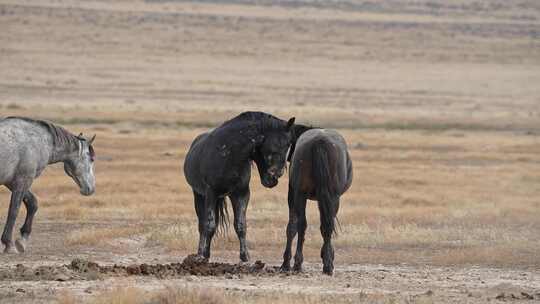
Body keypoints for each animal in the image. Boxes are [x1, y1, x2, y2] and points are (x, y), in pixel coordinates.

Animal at [0, 117, 96, 253]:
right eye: (91, 159)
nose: (91, 188)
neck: (39, 141)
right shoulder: (23, 180)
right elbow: (14, 211)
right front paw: (9, 244)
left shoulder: (11, 182)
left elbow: (32, 203)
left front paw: (22, 239)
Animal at [185, 111, 296, 262]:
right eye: (271, 144)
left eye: (288, 144)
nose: (275, 176)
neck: (229, 154)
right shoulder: (211, 193)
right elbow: (209, 225)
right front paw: (203, 255)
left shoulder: (241, 194)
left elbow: (240, 225)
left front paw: (245, 256)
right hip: (198, 195)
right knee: (202, 224)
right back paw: (201, 253)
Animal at [282, 128, 354, 276]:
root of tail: (320, 141)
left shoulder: (295, 195)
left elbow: (292, 227)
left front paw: (286, 263)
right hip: (332, 197)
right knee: (326, 226)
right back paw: (327, 265)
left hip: (302, 195)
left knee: (303, 225)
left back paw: (298, 263)